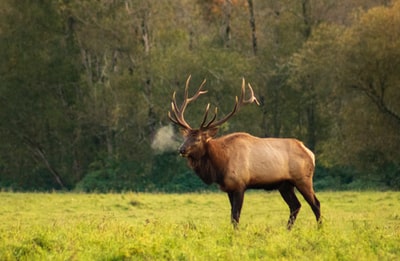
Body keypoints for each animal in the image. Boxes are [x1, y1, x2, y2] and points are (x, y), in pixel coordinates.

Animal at [167, 75, 320, 228]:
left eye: (198, 139)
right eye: (185, 137)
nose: (181, 149)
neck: (220, 167)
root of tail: (310, 153)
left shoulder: (240, 184)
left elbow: (236, 216)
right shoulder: (229, 188)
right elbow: (232, 217)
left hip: (303, 179)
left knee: (315, 204)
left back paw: (319, 229)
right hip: (285, 185)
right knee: (295, 206)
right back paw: (287, 230)